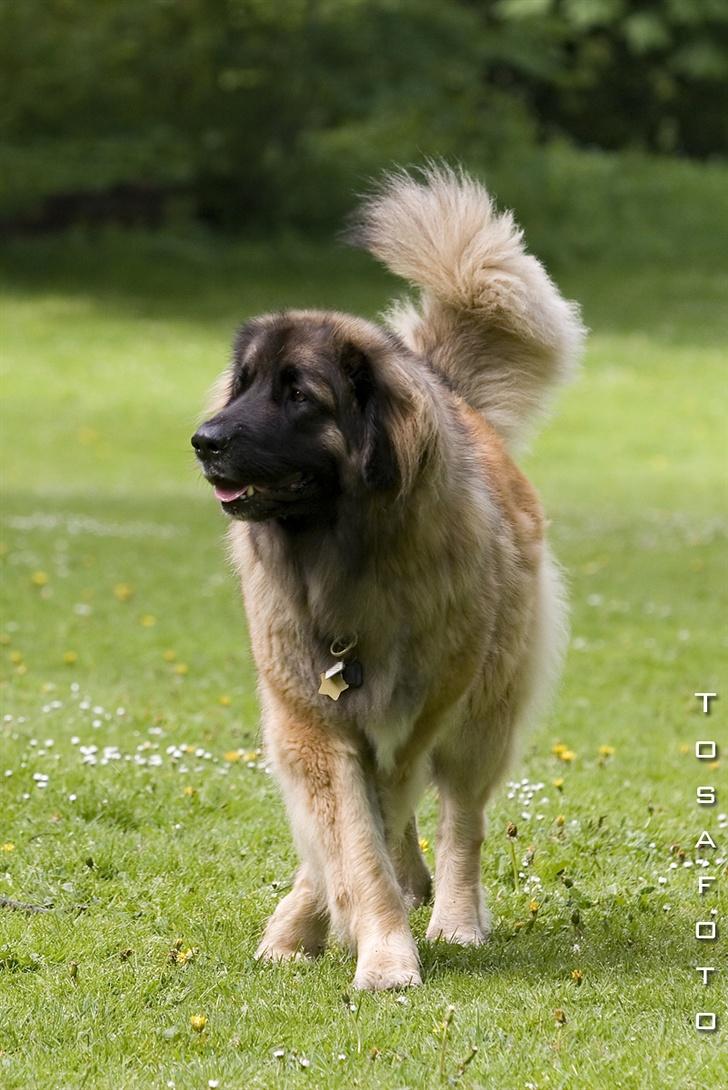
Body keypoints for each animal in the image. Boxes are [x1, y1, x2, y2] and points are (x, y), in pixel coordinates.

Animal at [190, 165, 584, 994]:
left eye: (298, 394)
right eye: (243, 385)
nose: (204, 441)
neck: (345, 563)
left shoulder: (411, 714)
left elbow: (365, 829)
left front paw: (371, 946)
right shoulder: (310, 717)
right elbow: (352, 834)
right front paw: (339, 933)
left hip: (482, 712)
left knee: (461, 818)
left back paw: (456, 917)